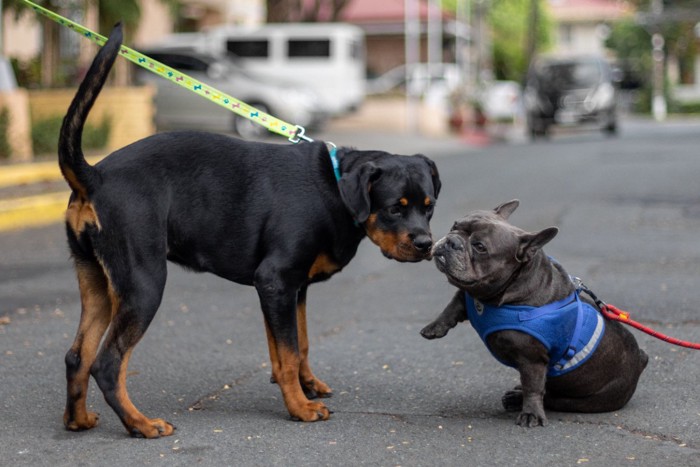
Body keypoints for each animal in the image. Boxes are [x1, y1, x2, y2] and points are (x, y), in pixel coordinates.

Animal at [61, 23, 442, 436]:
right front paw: (300, 407)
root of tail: (95, 177)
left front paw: (307, 386)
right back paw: (141, 424)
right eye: (394, 208)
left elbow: (296, 346)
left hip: (98, 283)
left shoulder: (293, 288)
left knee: (77, 356)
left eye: (429, 207)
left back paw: (78, 419)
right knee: (107, 363)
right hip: (143, 284)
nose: (426, 244)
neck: (335, 187)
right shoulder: (276, 280)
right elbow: (288, 353)